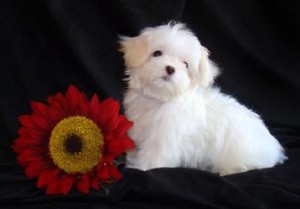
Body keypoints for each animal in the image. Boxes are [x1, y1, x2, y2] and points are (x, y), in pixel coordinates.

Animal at [119, 22, 286, 176]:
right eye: (157, 53)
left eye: (185, 65)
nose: (170, 68)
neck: (159, 100)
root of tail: (275, 148)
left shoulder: (162, 142)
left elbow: (151, 161)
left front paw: (138, 169)